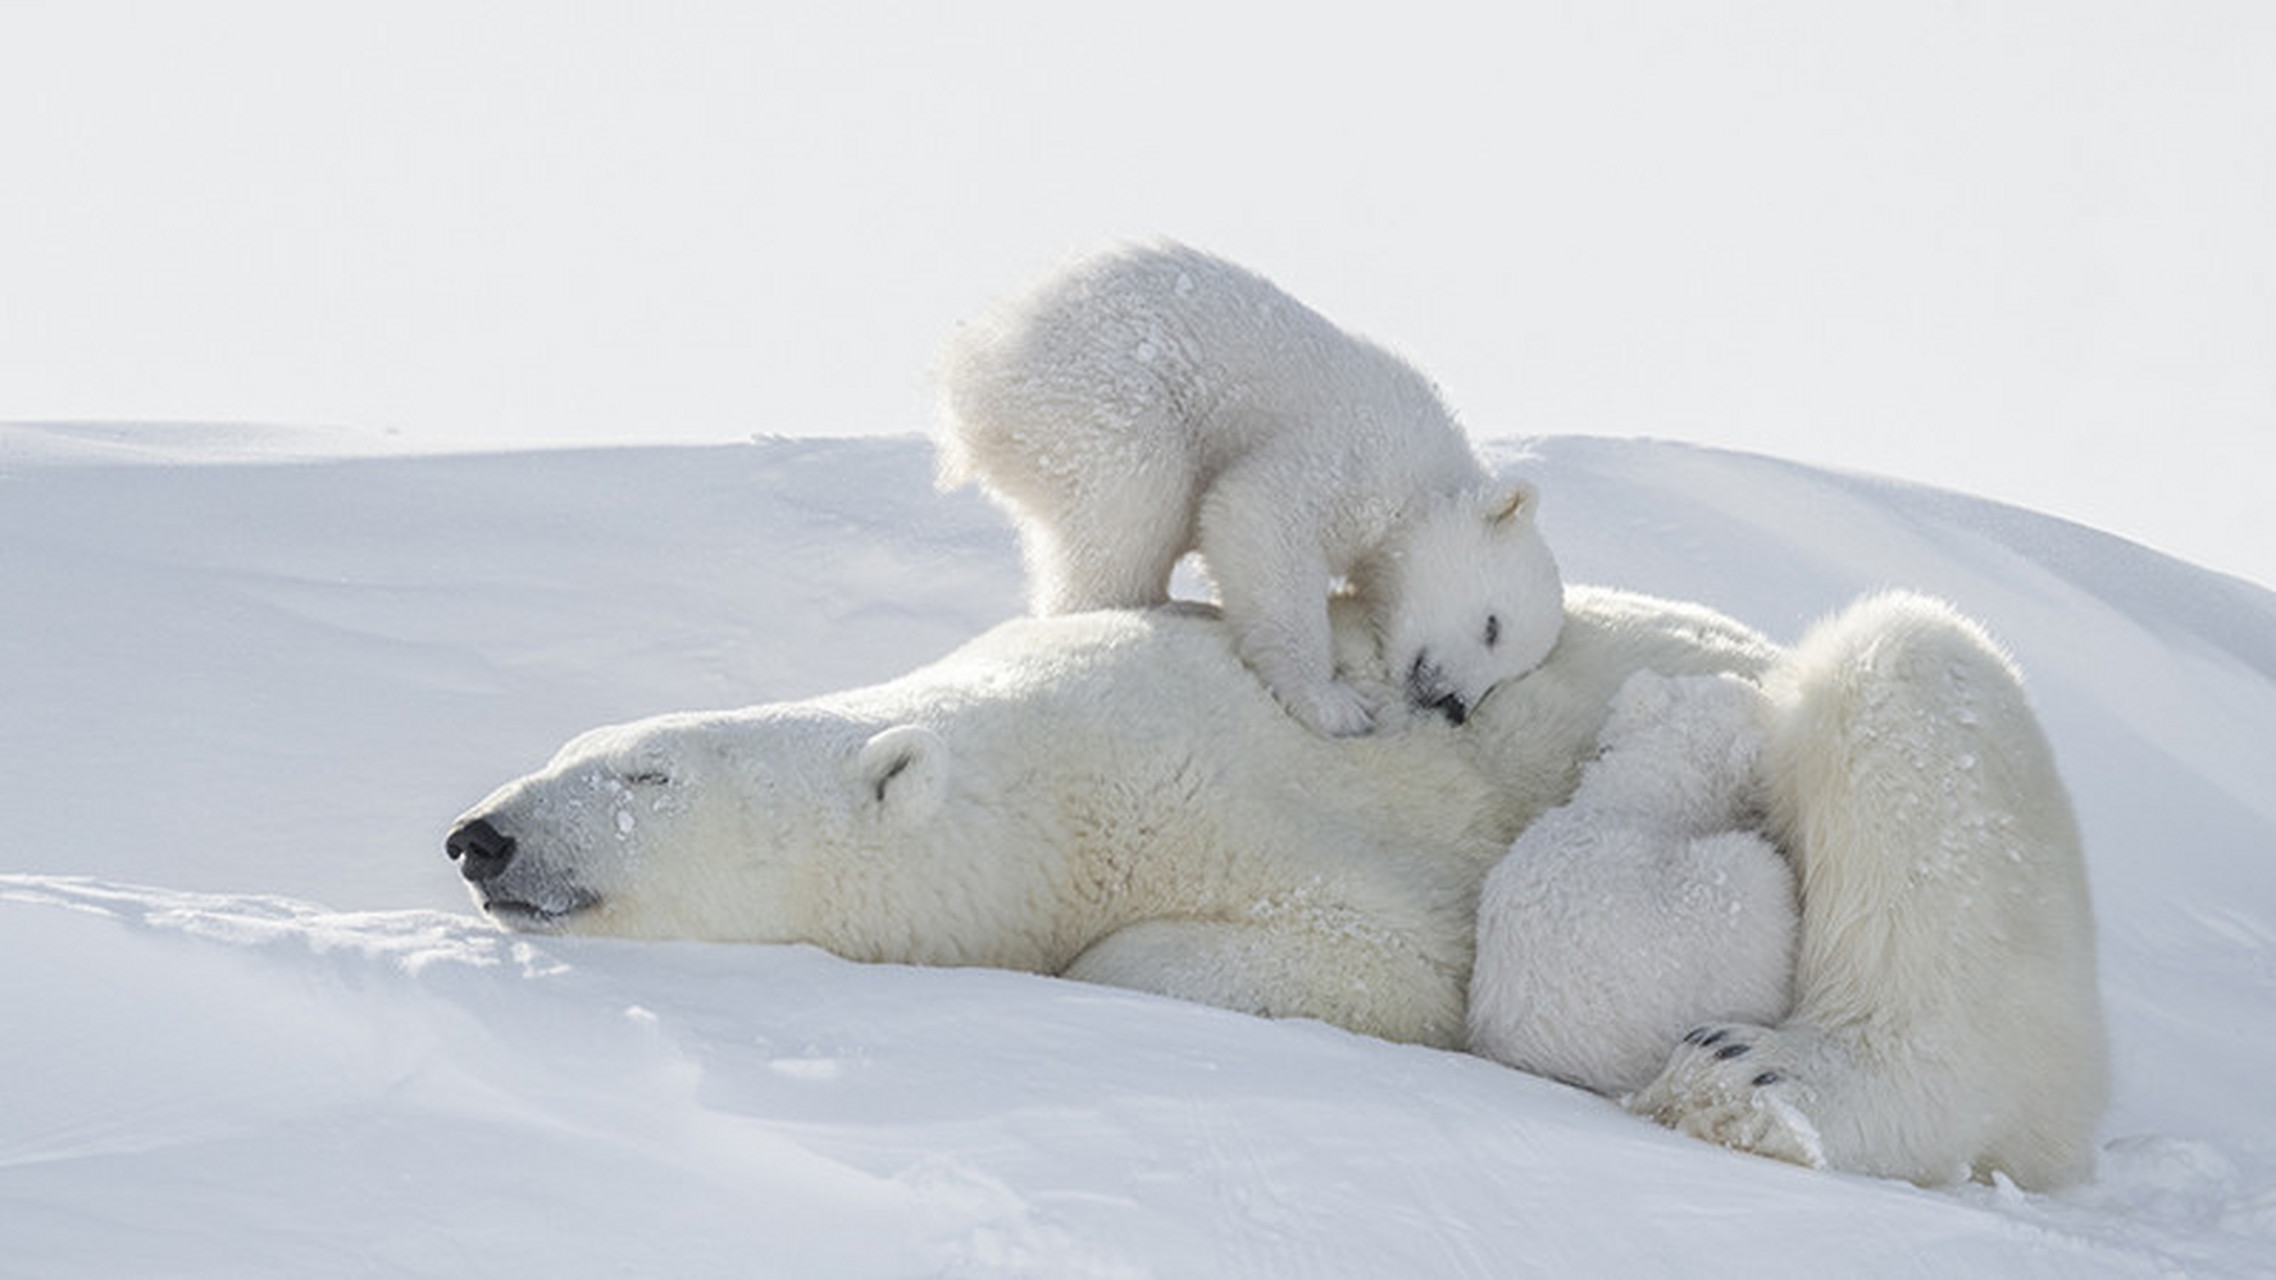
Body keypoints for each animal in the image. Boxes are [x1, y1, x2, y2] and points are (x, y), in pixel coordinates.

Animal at [928, 239, 1565, 733]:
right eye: (1493, 626)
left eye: (1513, 673)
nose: (1454, 705)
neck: (1431, 475)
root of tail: (968, 364)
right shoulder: (1362, 454)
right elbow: (1257, 510)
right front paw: (1333, 703)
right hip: (1099, 390)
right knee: (1137, 492)